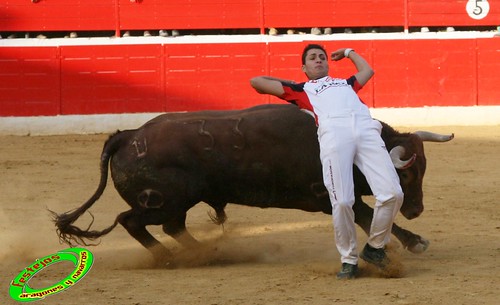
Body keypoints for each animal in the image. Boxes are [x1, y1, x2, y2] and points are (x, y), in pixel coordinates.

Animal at [52, 103, 456, 262]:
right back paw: (170, 258)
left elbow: (367, 216)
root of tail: (128, 135)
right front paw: (415, 241)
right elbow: (366, 215)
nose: (416, 209)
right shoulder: (331, 196)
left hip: (178, 202)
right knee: (132, 221)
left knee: (172, 226)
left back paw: (205, 252)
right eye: (407, 172)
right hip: (164, 200)